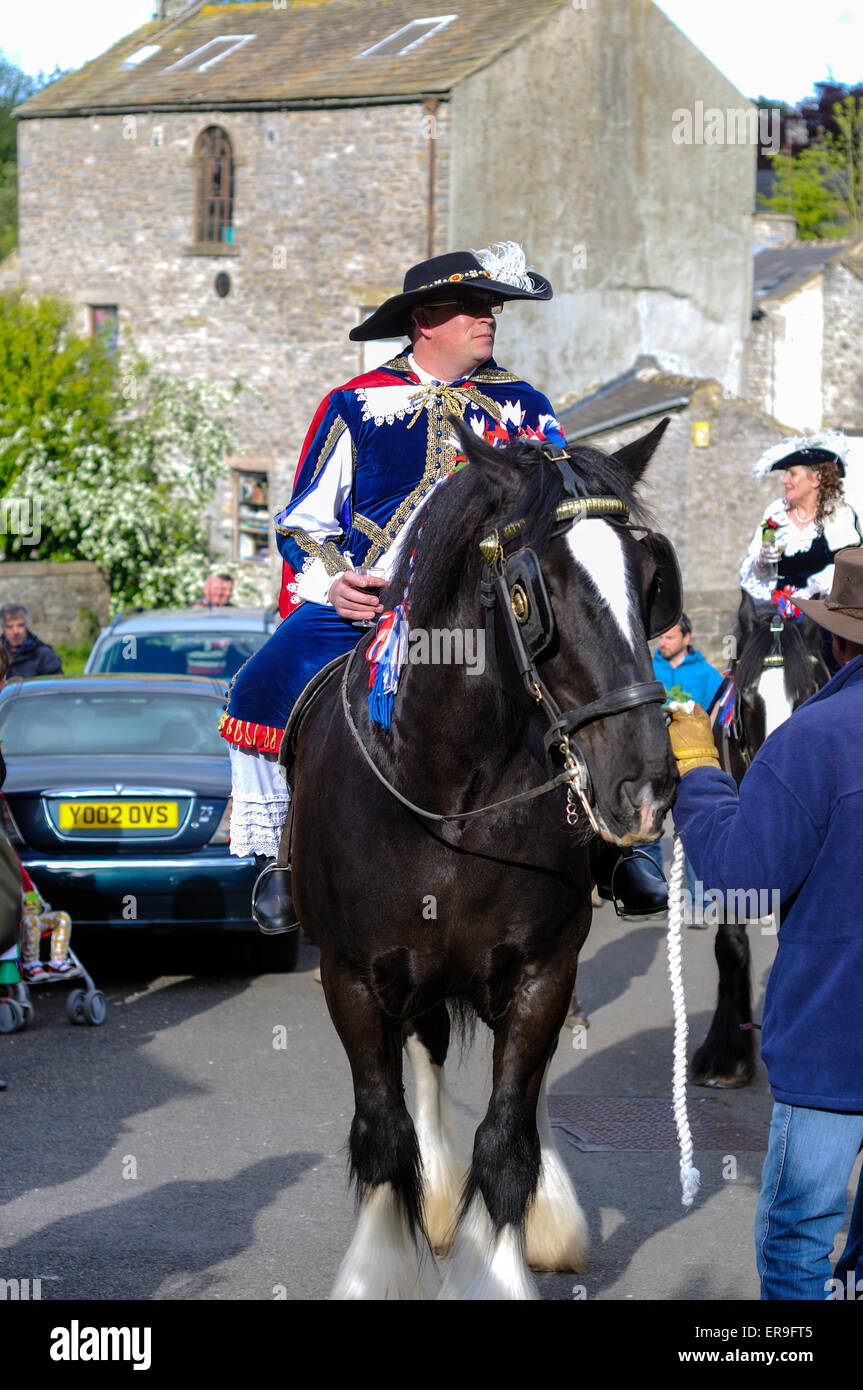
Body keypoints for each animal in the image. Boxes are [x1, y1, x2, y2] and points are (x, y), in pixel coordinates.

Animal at [286, 417, 675, 1295]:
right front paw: (376, 1267)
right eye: (530, 590)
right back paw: (431, 1199)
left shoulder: (541, 972)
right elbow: (383, 1130)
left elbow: (506, 1141)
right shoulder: (352, 977)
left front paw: (496, 1260)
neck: (452, 796)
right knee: (424, 1057)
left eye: (649, 579)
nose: (644, 786)